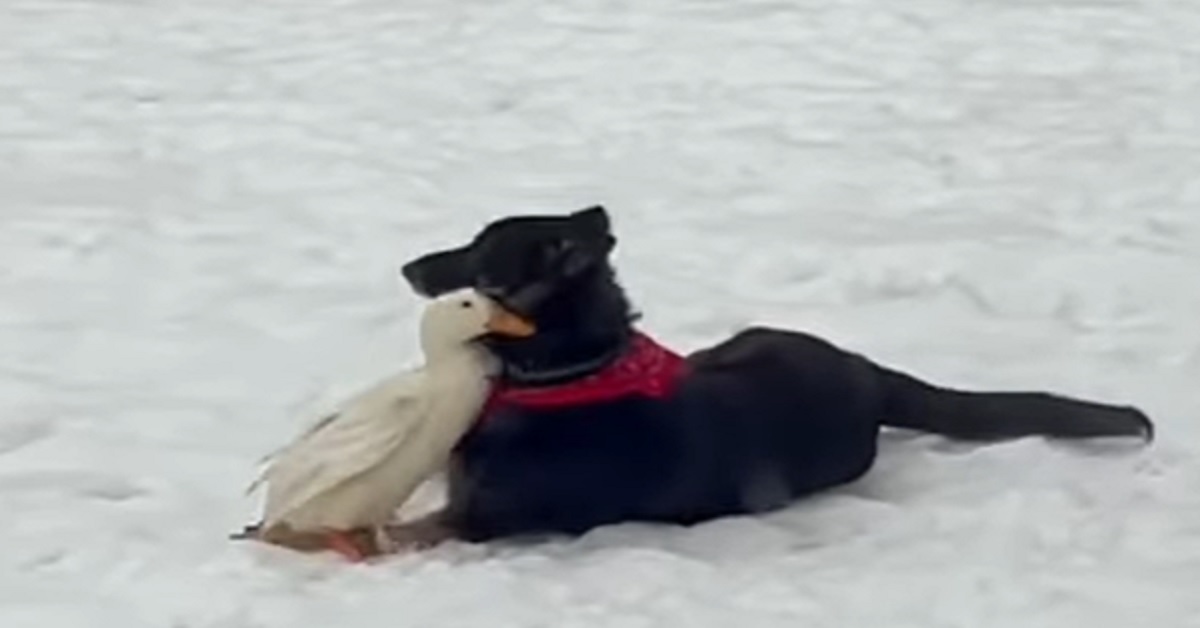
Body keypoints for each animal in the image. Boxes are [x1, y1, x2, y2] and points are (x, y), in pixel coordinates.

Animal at [396, 205, 1152, 545]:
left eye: (477, 256)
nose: (406, 266)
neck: (574, 373)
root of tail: (869, 375)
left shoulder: (475, 520)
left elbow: (408, 531)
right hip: (736, 345)